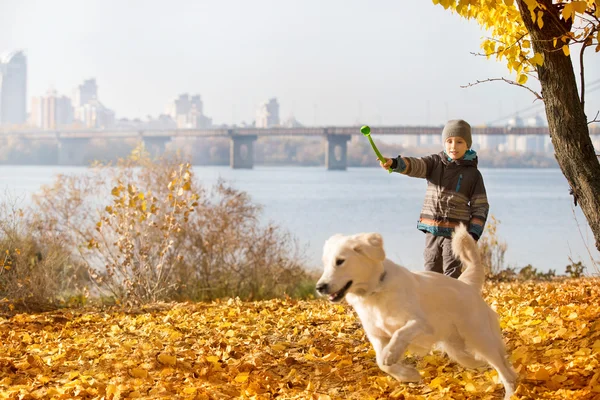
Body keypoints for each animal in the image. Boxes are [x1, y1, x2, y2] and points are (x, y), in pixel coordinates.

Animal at [314, 225, 516, 400]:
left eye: (340, 261)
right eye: (325, 263)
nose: (319, 287)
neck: (375, 291)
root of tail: (467, 285)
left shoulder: (421, 324)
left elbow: (399, 334)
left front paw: (392, 355)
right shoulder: (377, 335)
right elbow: (381, 362)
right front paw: (408, 375)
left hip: (481, 339)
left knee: (504, 369)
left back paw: (511, 393)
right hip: (458, 350)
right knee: (487, 363)